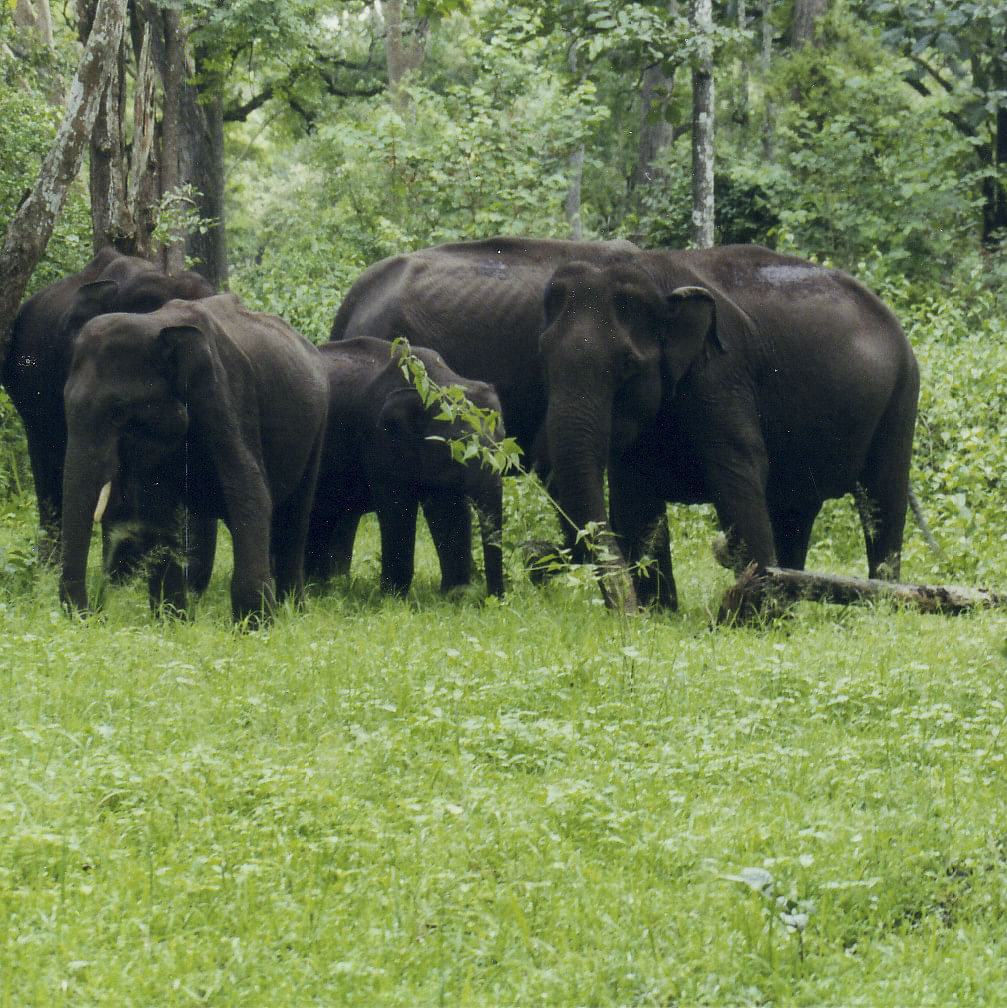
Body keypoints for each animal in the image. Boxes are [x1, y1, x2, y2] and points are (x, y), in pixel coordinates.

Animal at [59, 292, 326, 620]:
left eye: (119, 413)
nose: (94, 615)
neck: (154, 322)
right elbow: (156, 509)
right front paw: (171, 619)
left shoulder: (225, 393)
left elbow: (250, 492)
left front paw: (255, 622)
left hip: (317, 426)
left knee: (295, 515)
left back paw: (295, 610)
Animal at [306, 336, 508, 596]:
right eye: (457, 448)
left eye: (502, 438)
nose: (494, 598)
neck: (436, 381)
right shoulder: (379, 441)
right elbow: (397, 509)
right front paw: (392, 596)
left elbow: (449, 510)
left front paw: (456, 595)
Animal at [544, 246, 923, 608]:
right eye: (544, 354)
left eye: (628, 364)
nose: (625, 613)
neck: (651, 275)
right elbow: (635, 497)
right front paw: (658, 613)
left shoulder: (722, 375)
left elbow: (737, 477)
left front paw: (752, 615)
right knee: (795, 510)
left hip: (902, 396)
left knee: (883, 499)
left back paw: (882, 604)